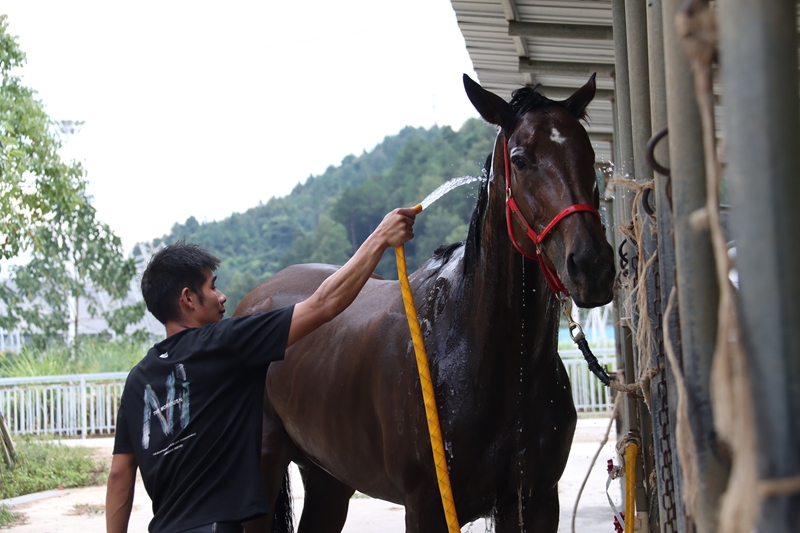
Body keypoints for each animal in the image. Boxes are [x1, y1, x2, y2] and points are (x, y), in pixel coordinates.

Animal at [235, 74, 615, 533]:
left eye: (589, 154)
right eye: (521, 159)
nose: (592, 264)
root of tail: (254, 302)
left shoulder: (536, 501)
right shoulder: (427, 505)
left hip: (329, 477)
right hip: (265, 465)